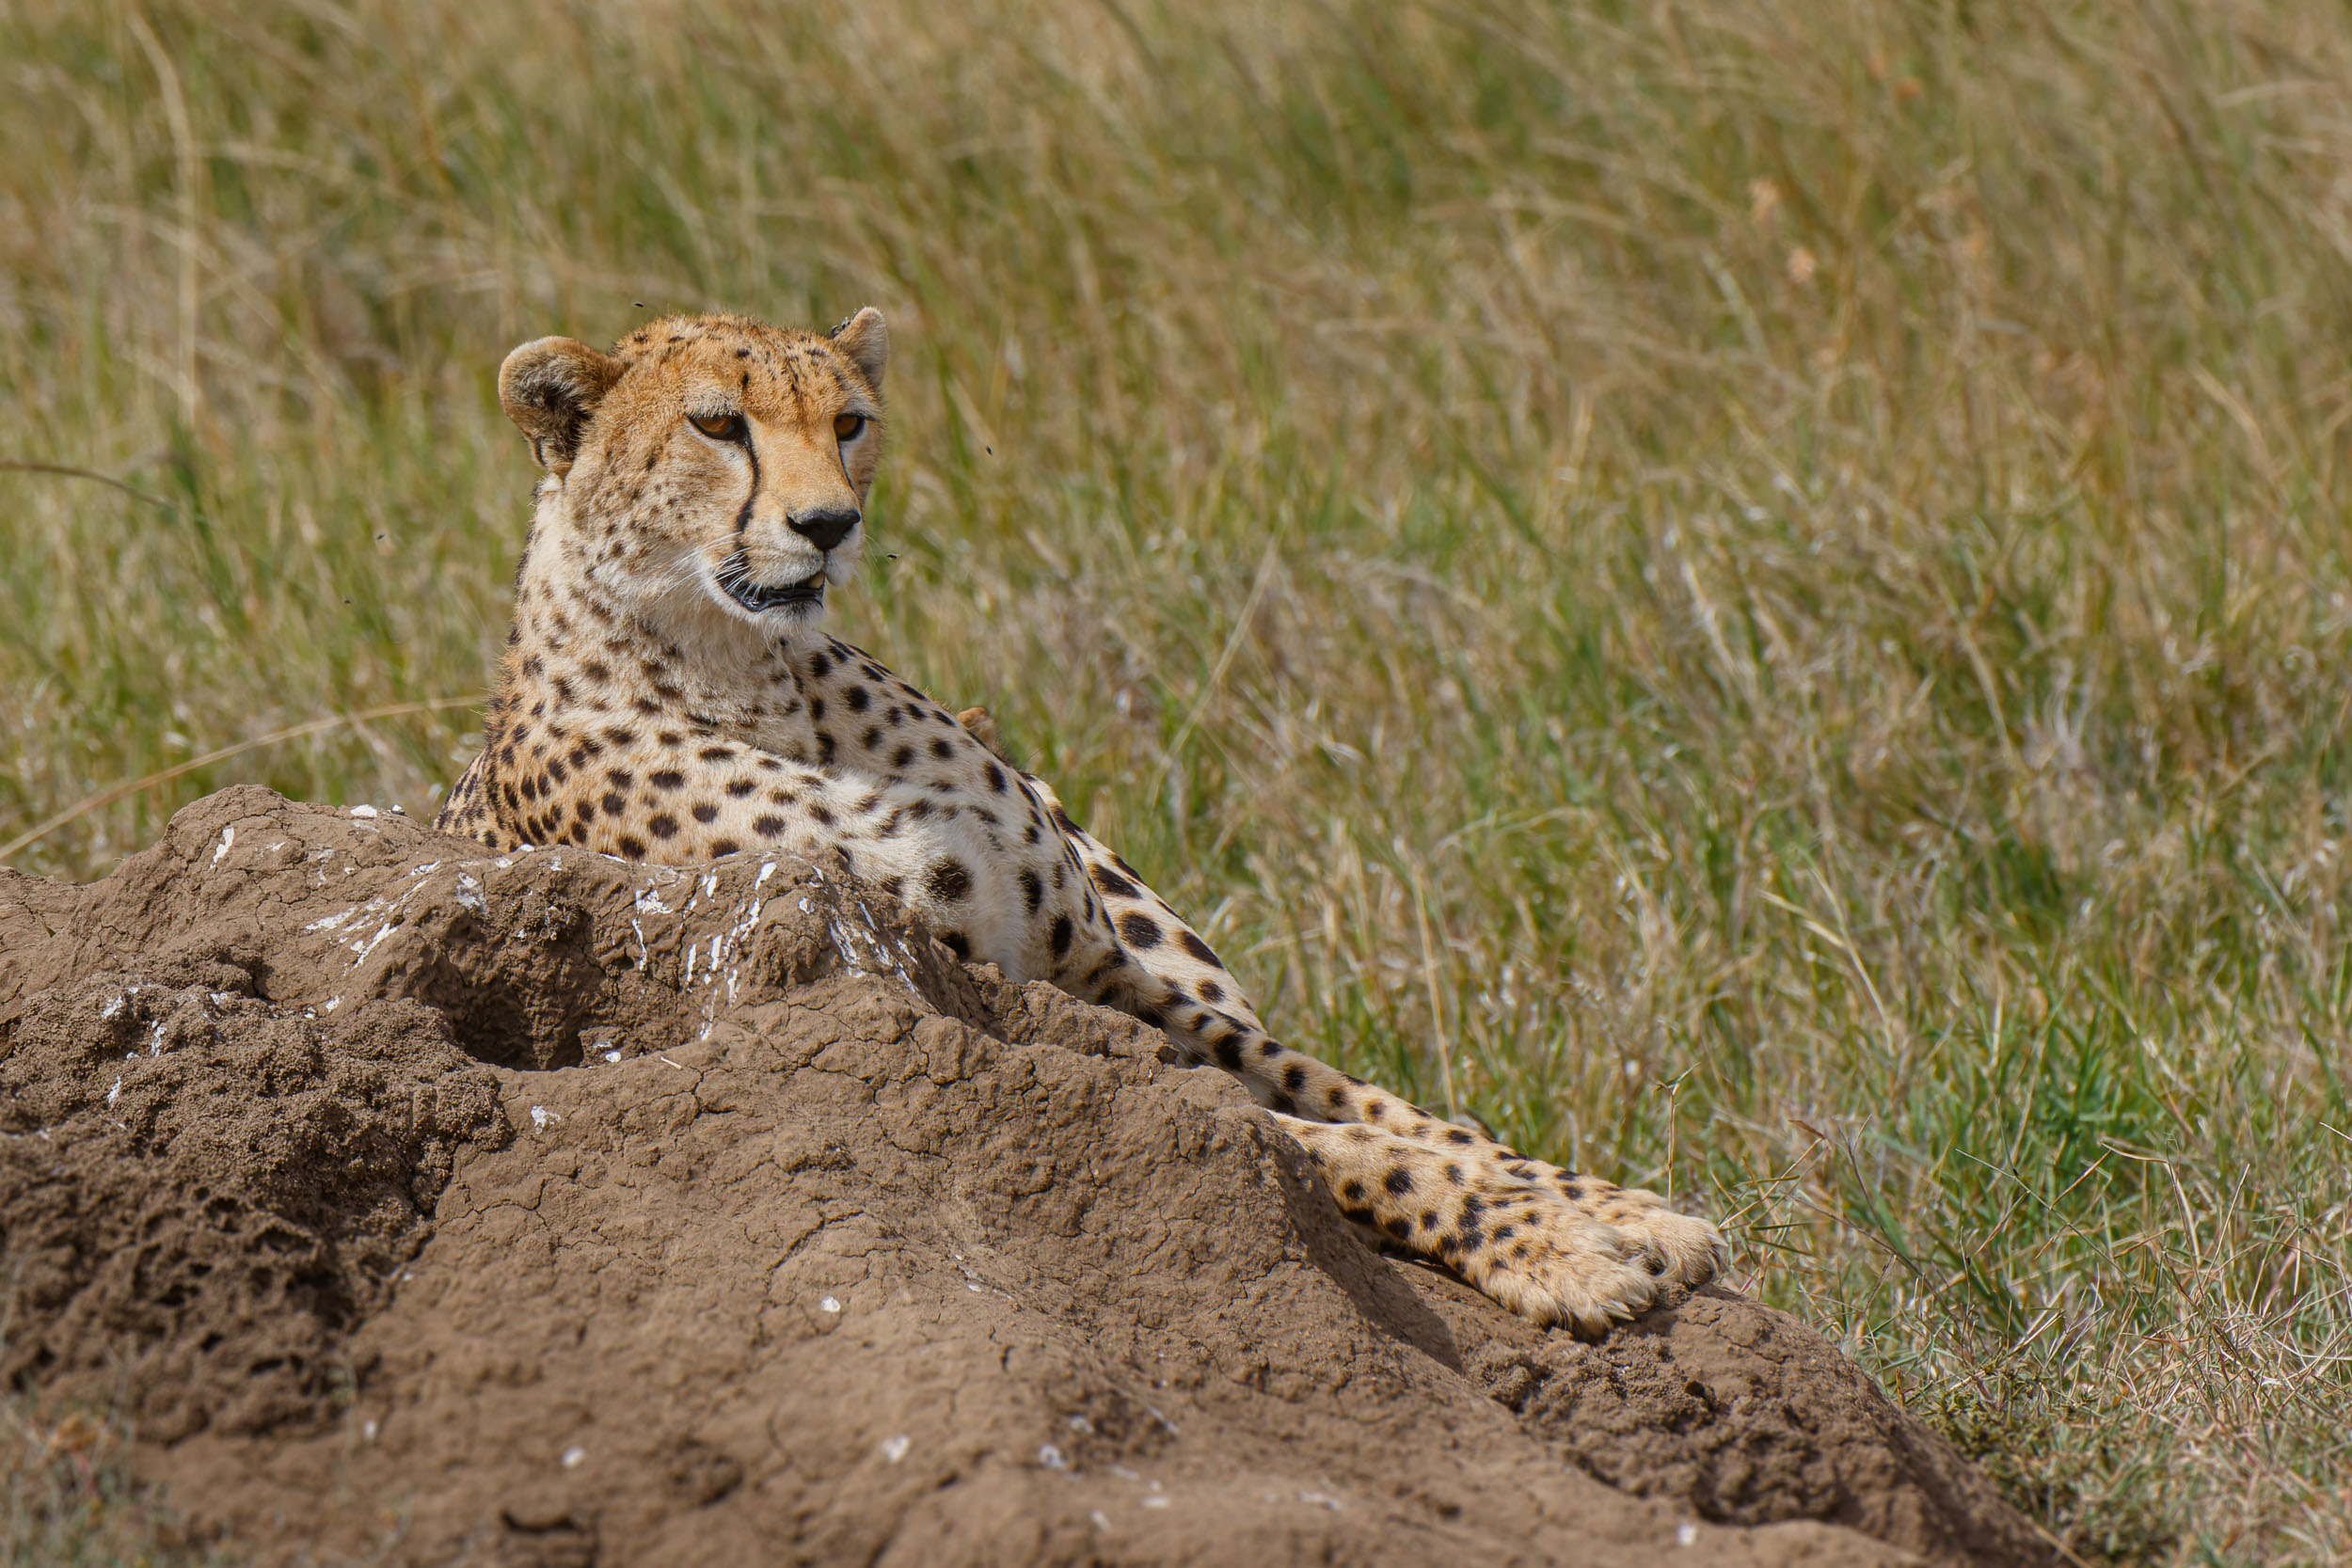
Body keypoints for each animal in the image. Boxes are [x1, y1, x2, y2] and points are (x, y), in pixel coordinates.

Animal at [436, 307, 1726, 1334]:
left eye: (849, 421)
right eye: (717, 426)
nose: (827, 524)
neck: (759, 673)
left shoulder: (1095, 976)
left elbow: (1371, 1103)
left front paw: (1621, 1208)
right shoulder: (958, 1001)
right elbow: (1336, 1144)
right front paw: (1557, 1249)